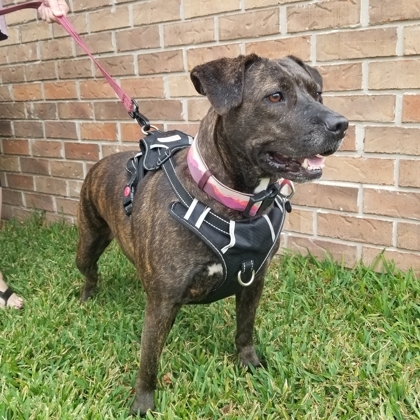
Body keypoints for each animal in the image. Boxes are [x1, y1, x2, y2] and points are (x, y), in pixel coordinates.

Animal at [75, 54, 348, 416]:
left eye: (317, 93)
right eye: (275, 96)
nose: (341, 124)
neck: (235, 202)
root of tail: (100, 162)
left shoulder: (253, 282)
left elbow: (245, 328)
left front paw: (249, 363)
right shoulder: (162, 303)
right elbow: (148, 360)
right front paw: (143, 403)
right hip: (87, 243)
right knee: (90, 271)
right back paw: (87, 297)